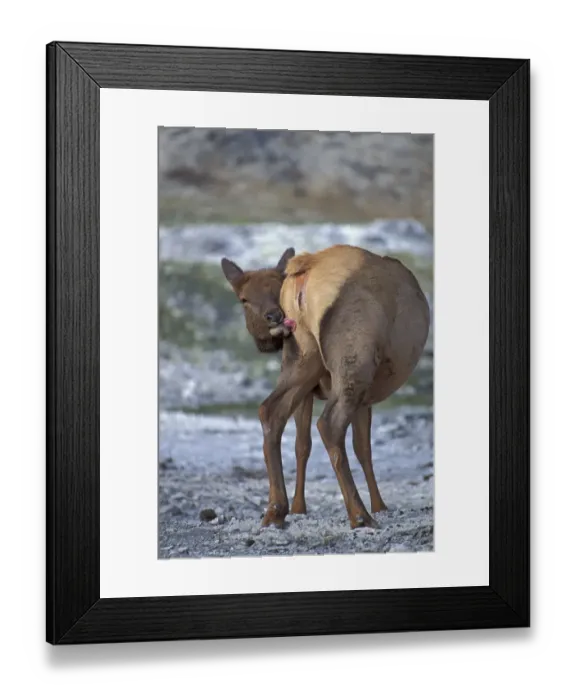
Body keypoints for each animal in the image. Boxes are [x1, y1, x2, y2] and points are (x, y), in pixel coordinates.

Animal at [221, 244, 430, 530]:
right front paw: (380, 506)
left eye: (272, 290)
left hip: (303, 355)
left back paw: (275, 511)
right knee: (329, 424)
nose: (273, 318)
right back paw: (360, 515)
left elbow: (315, 445)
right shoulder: (364, 394)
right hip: (354, 357)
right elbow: (363, 447)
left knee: (270, 410)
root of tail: (304, 270)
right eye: (243, 299)